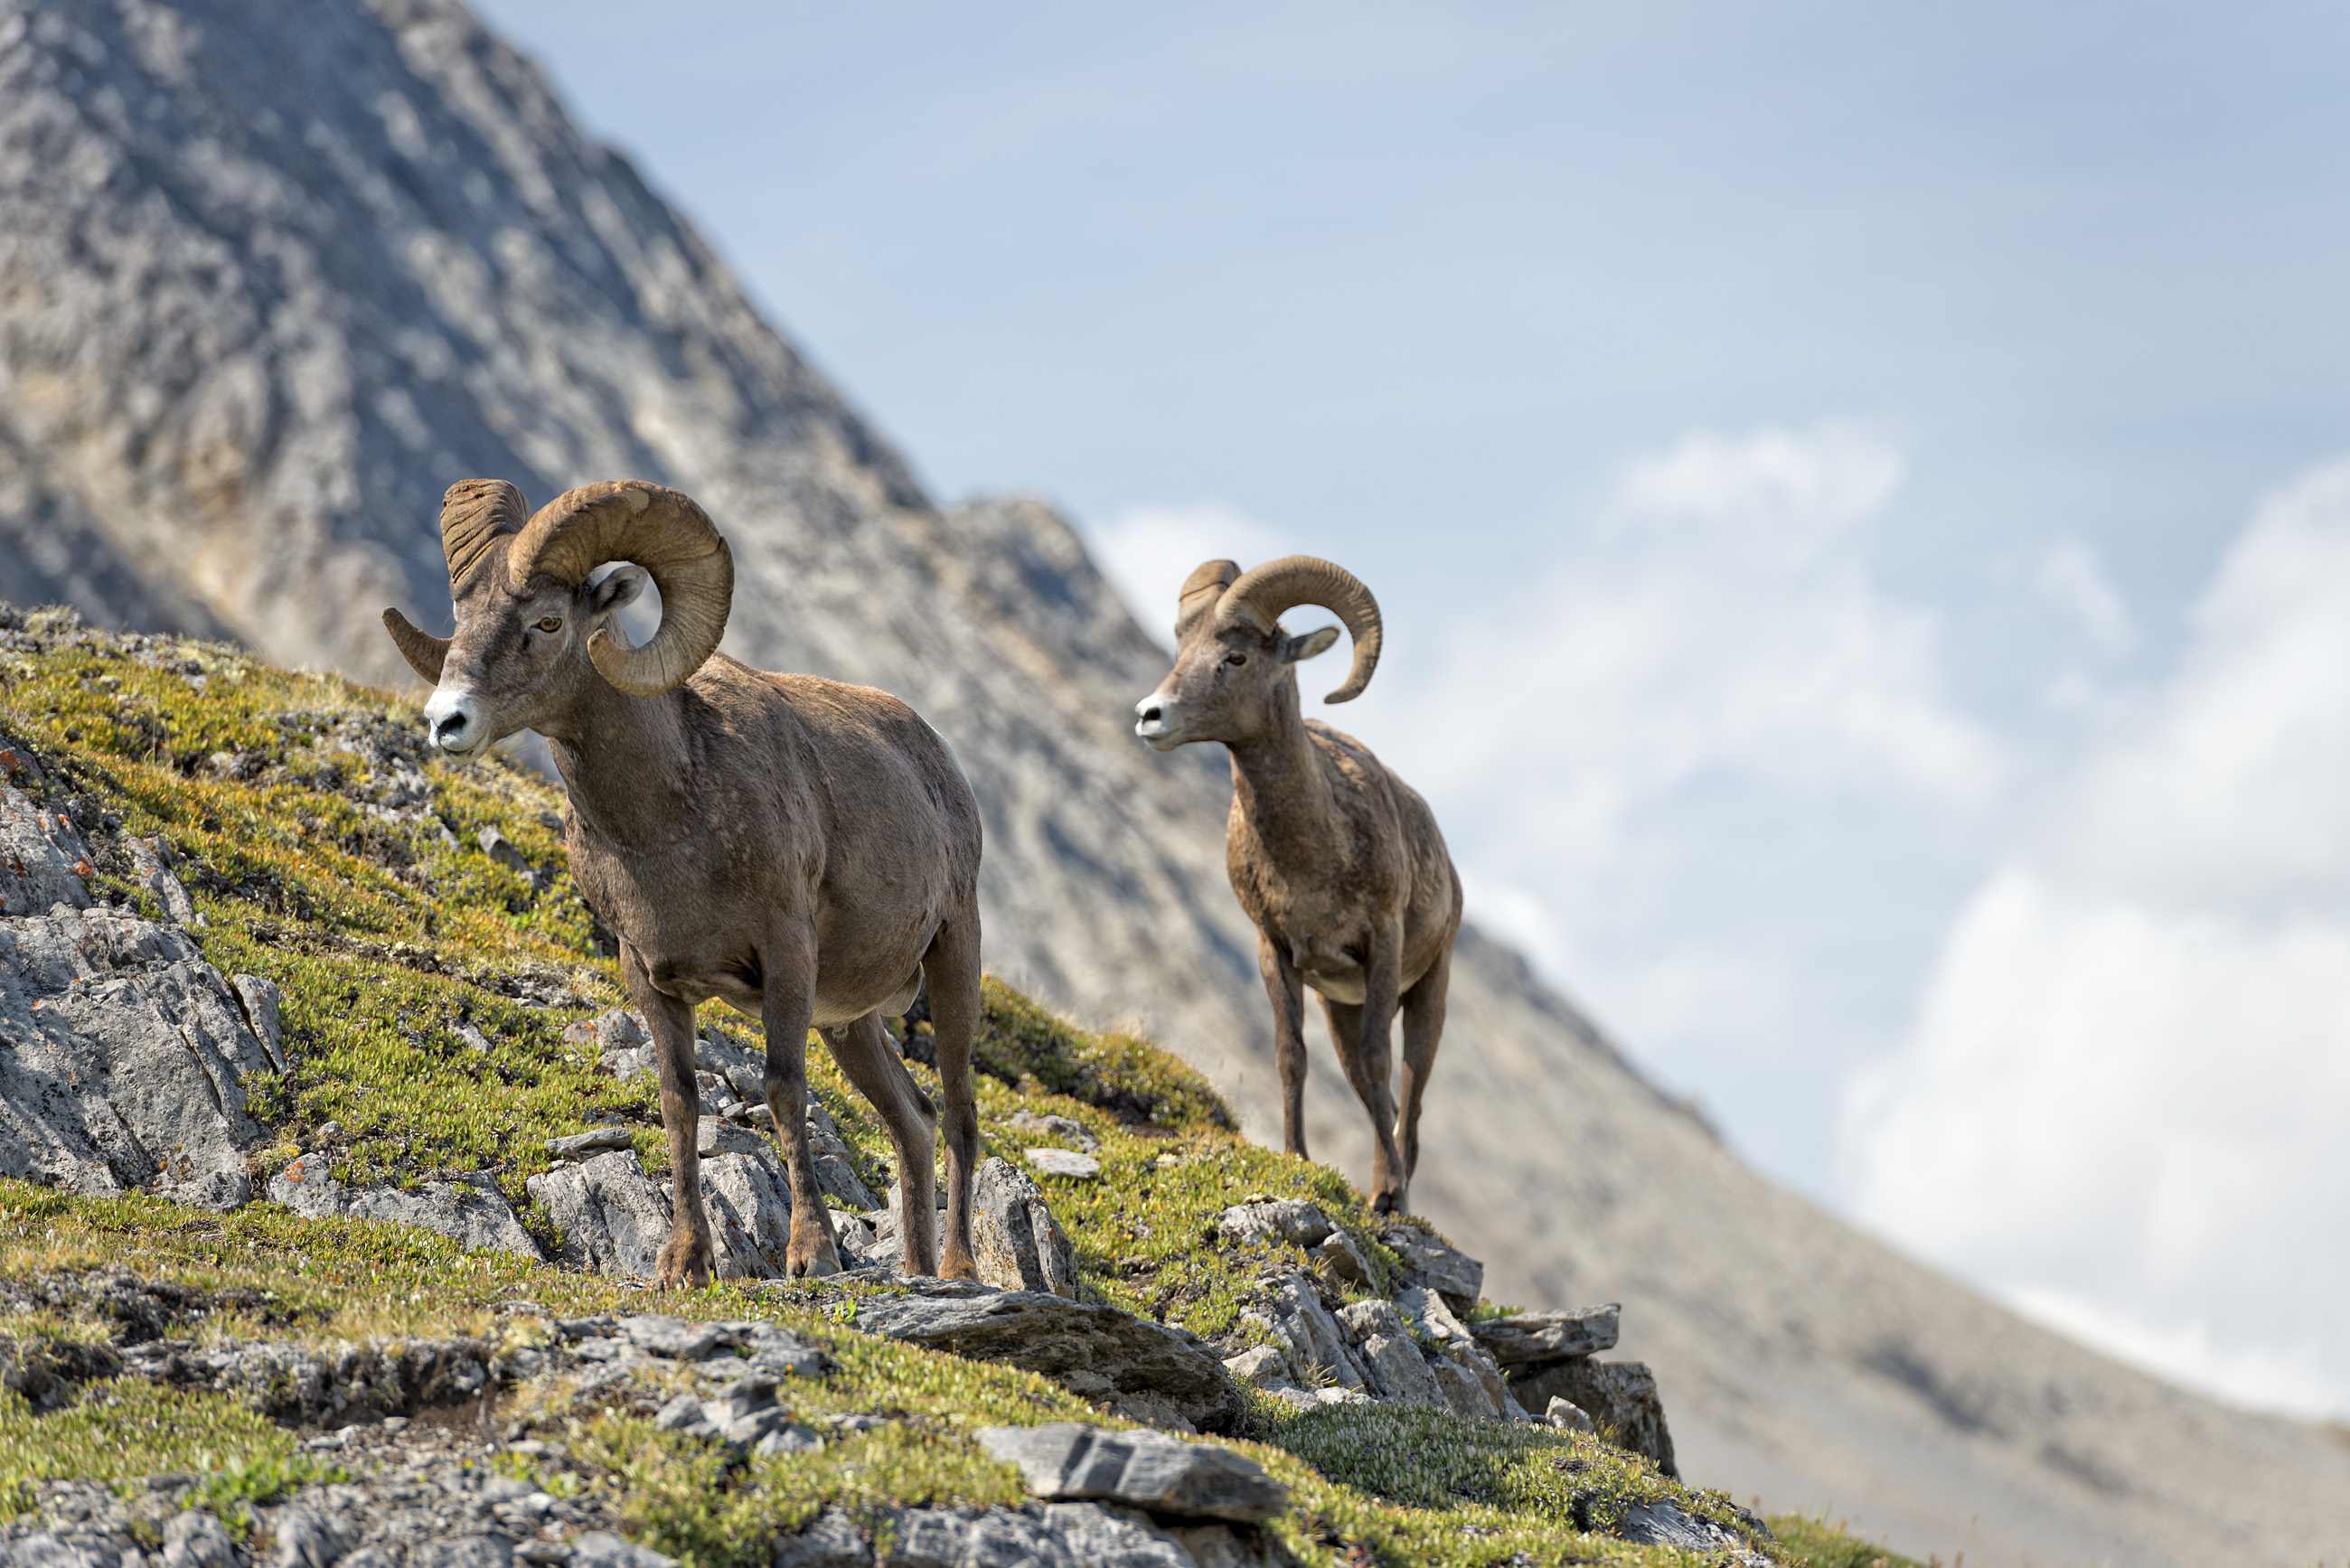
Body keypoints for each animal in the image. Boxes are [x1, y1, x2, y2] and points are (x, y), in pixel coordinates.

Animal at [382, 477, 983, 1287]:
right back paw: (920, 1273)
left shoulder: (787, 954)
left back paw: (960, 1271)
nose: (447, 721)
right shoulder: (650, 974)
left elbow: (782, 1087)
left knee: (958, 1116)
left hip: (953, 958)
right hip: (851, 1023)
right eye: (463, 619)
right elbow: (679, 1103)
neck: (669, 822)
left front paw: (811, 1254)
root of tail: (938, 760)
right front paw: (685, 1263)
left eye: (548, 621)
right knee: (912, 1124)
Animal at [1133, 556, 1462, 1213]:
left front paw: (1388, 1195)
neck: (1312, 855)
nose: (1150, 715)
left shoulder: (1382, 943)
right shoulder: (1277, 951)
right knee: (1370, 1088)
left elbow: (1381, 1060)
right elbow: (1292, 1057)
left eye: (1235, 657)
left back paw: (1397, 1186)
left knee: (1409, 1089)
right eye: (1183, 646)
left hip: (1428, 989)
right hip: (1340, 1006)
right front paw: (1297, 1158)